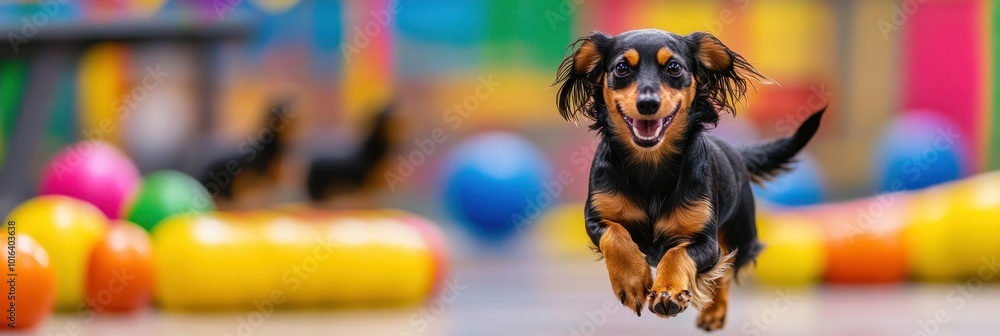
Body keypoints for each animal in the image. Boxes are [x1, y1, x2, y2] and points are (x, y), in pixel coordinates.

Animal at [552, 29, 824, 330]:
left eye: (674, 67)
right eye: (622, 68)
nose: (648, 104)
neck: (651, 164)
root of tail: (736, 154)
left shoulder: (706, 242)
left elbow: (678, 254)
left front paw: (668, 292)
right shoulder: (596, 219)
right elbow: (616, 235)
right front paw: (632, 282)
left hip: (740, 236)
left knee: (724, 271)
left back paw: (714, 312)